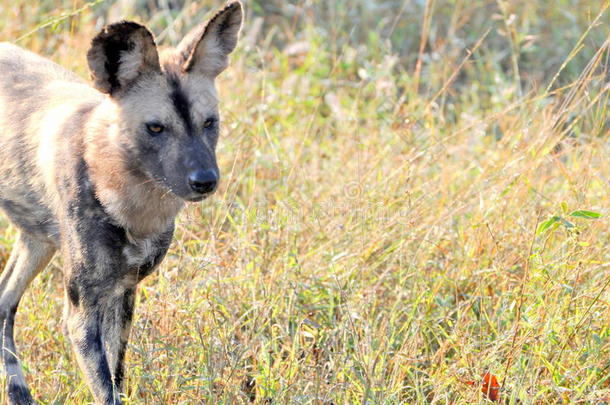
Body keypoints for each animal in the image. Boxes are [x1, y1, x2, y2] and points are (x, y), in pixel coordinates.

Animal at [0, 1, 241, 402]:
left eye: (210, 122)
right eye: (155, 127)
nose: (205, 180)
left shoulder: (122, 294)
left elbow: (118, 379)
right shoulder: (82, 315)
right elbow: (106, 390)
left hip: (38, 241)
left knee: (4, 302)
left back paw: (18, 391)